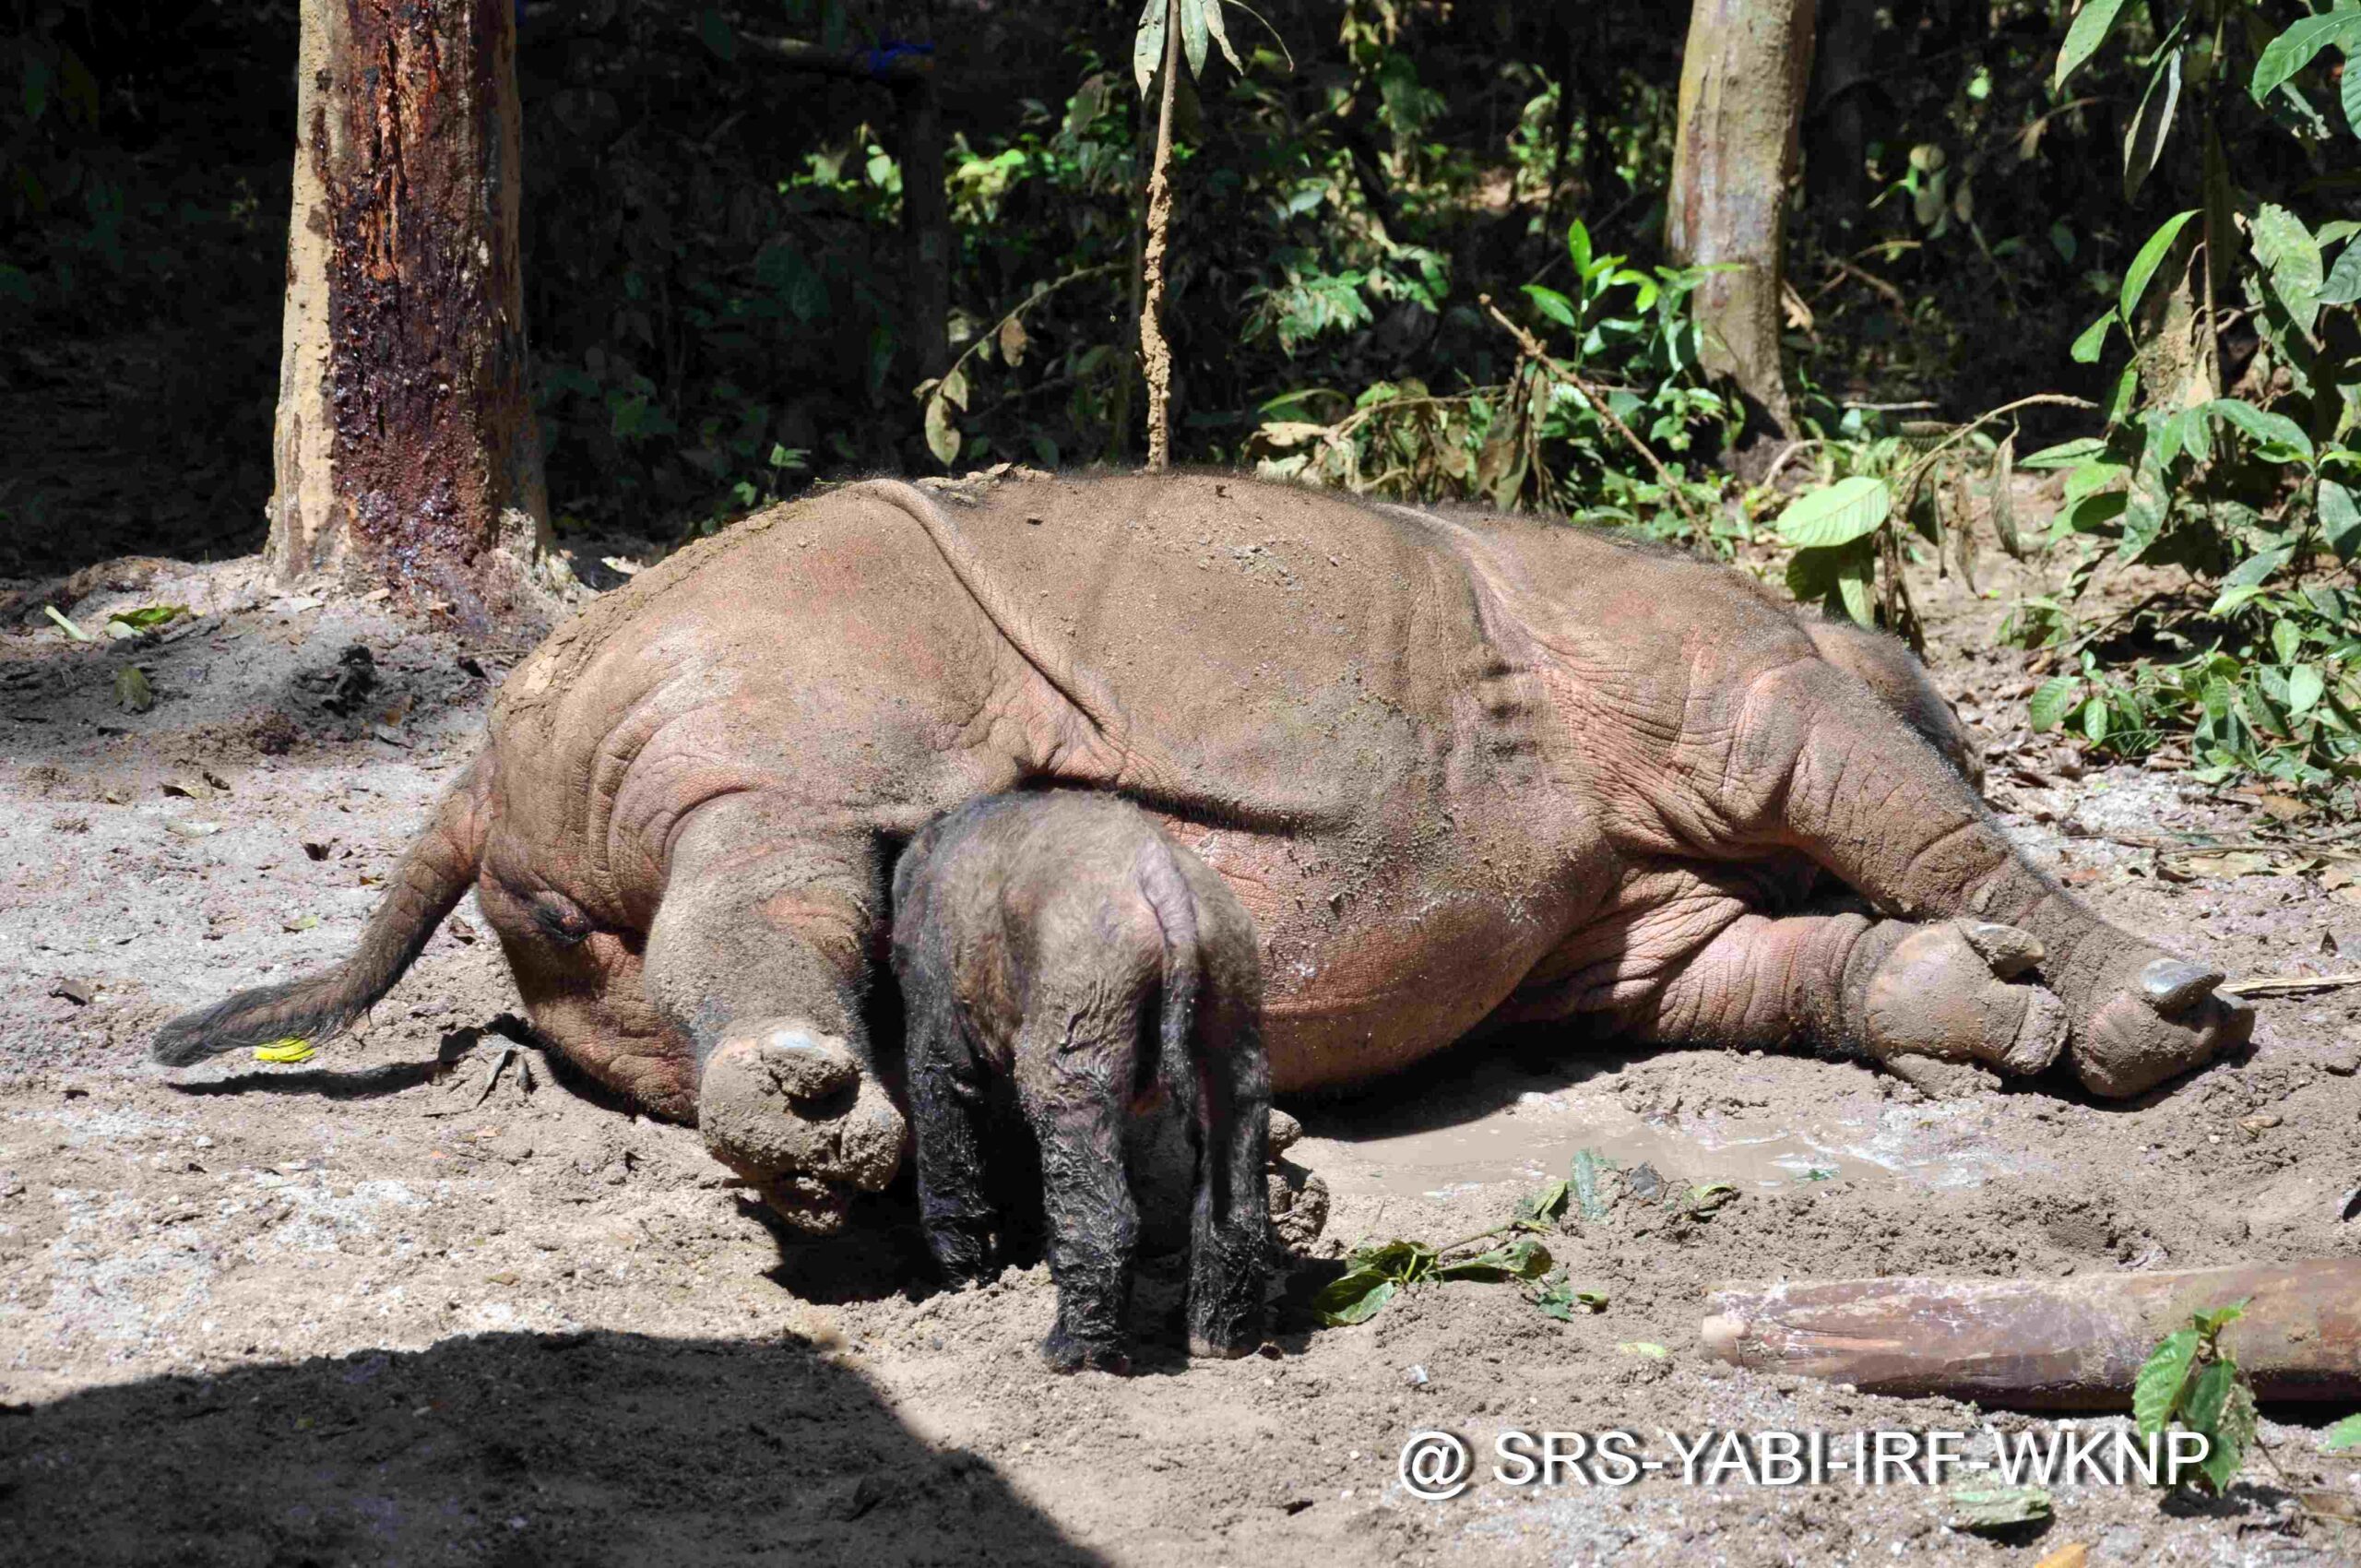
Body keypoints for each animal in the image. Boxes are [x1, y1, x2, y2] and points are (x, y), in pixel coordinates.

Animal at [153, 471, 2252, 1231]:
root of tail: (475, 758)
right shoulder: (1733, 691)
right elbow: (1923, 823)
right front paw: (2162, 1014)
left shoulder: (1627, 922)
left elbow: (1784, 953)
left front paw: (1999, 1014)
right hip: (763, 671)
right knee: (789, 849)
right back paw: (825, 1121)